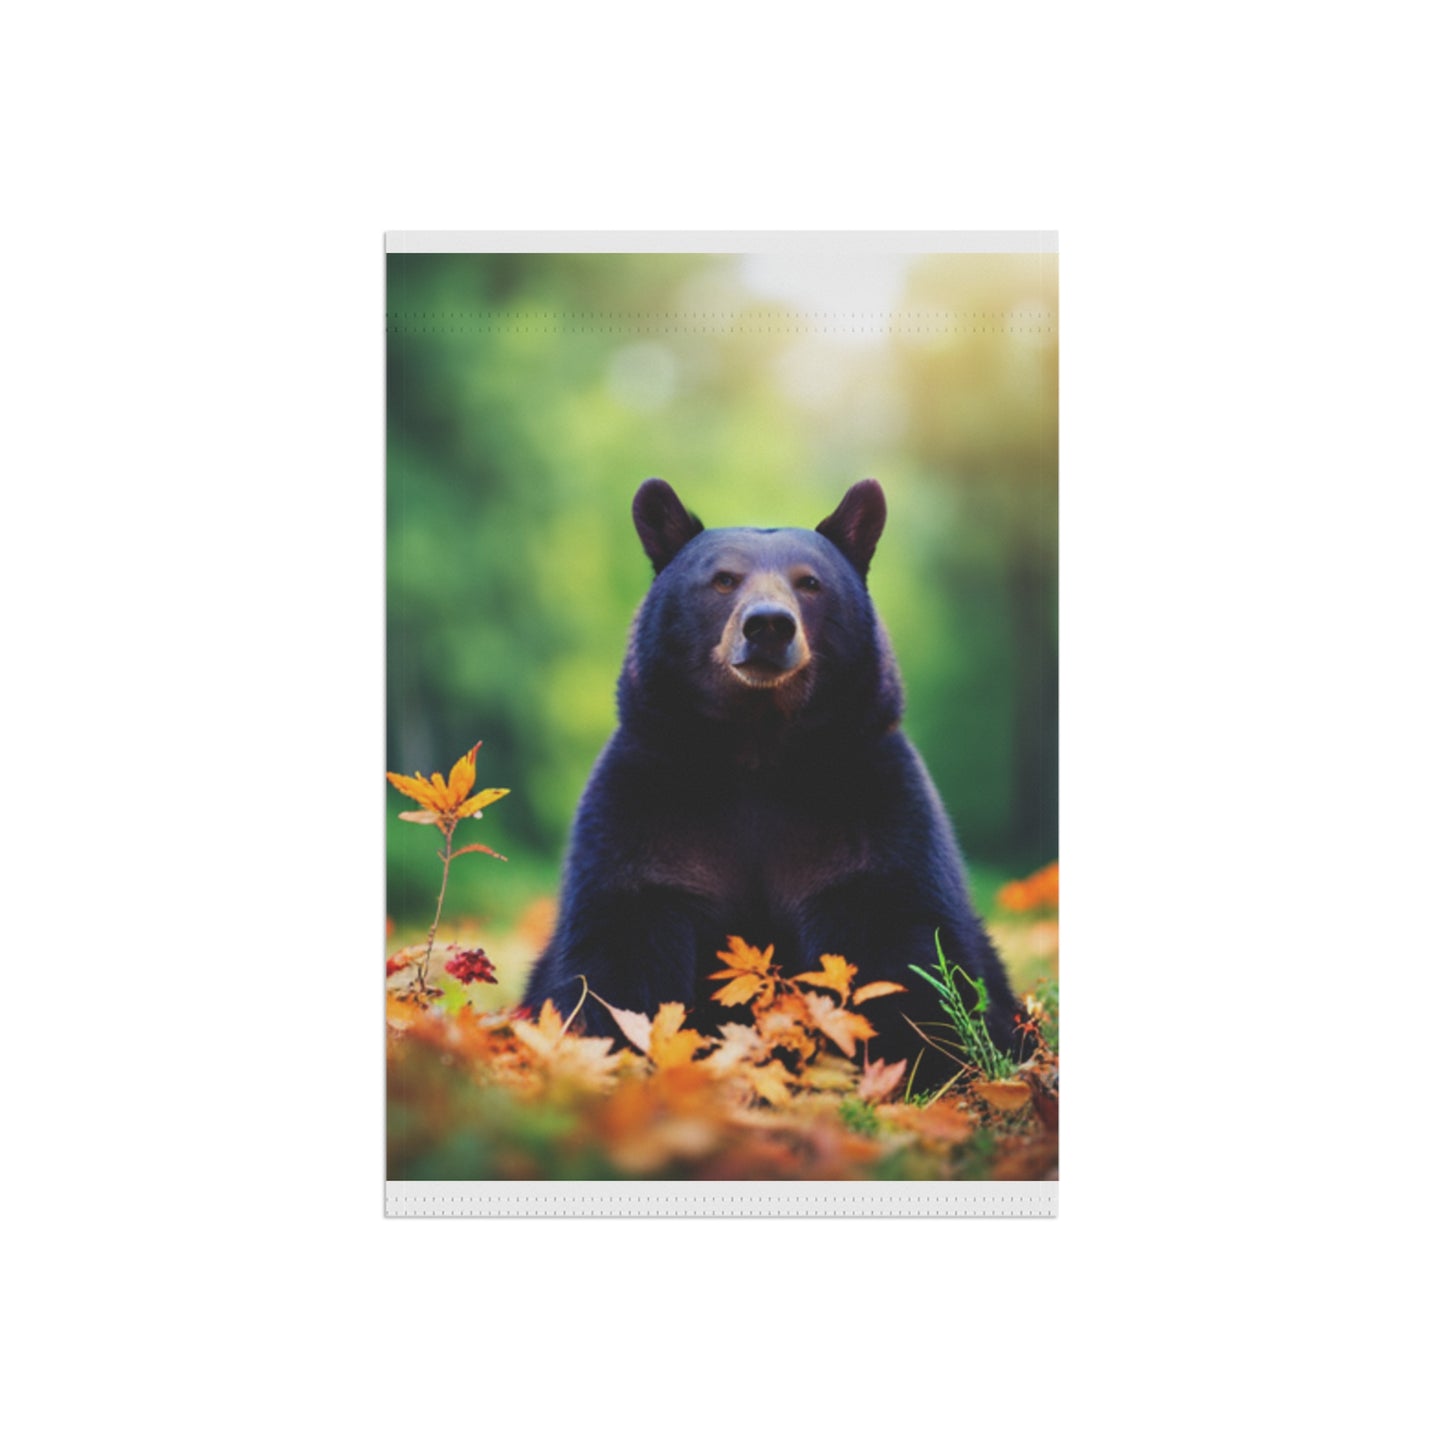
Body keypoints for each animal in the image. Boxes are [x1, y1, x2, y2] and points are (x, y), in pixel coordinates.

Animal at [523, 478, 1029, 1079]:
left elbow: (902, 943)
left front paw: (913, 1063)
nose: (768, 625)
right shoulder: (646, 803)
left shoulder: (872, 803)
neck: (757, 754)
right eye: (722, 579)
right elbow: (619, 946)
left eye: (810, 582)